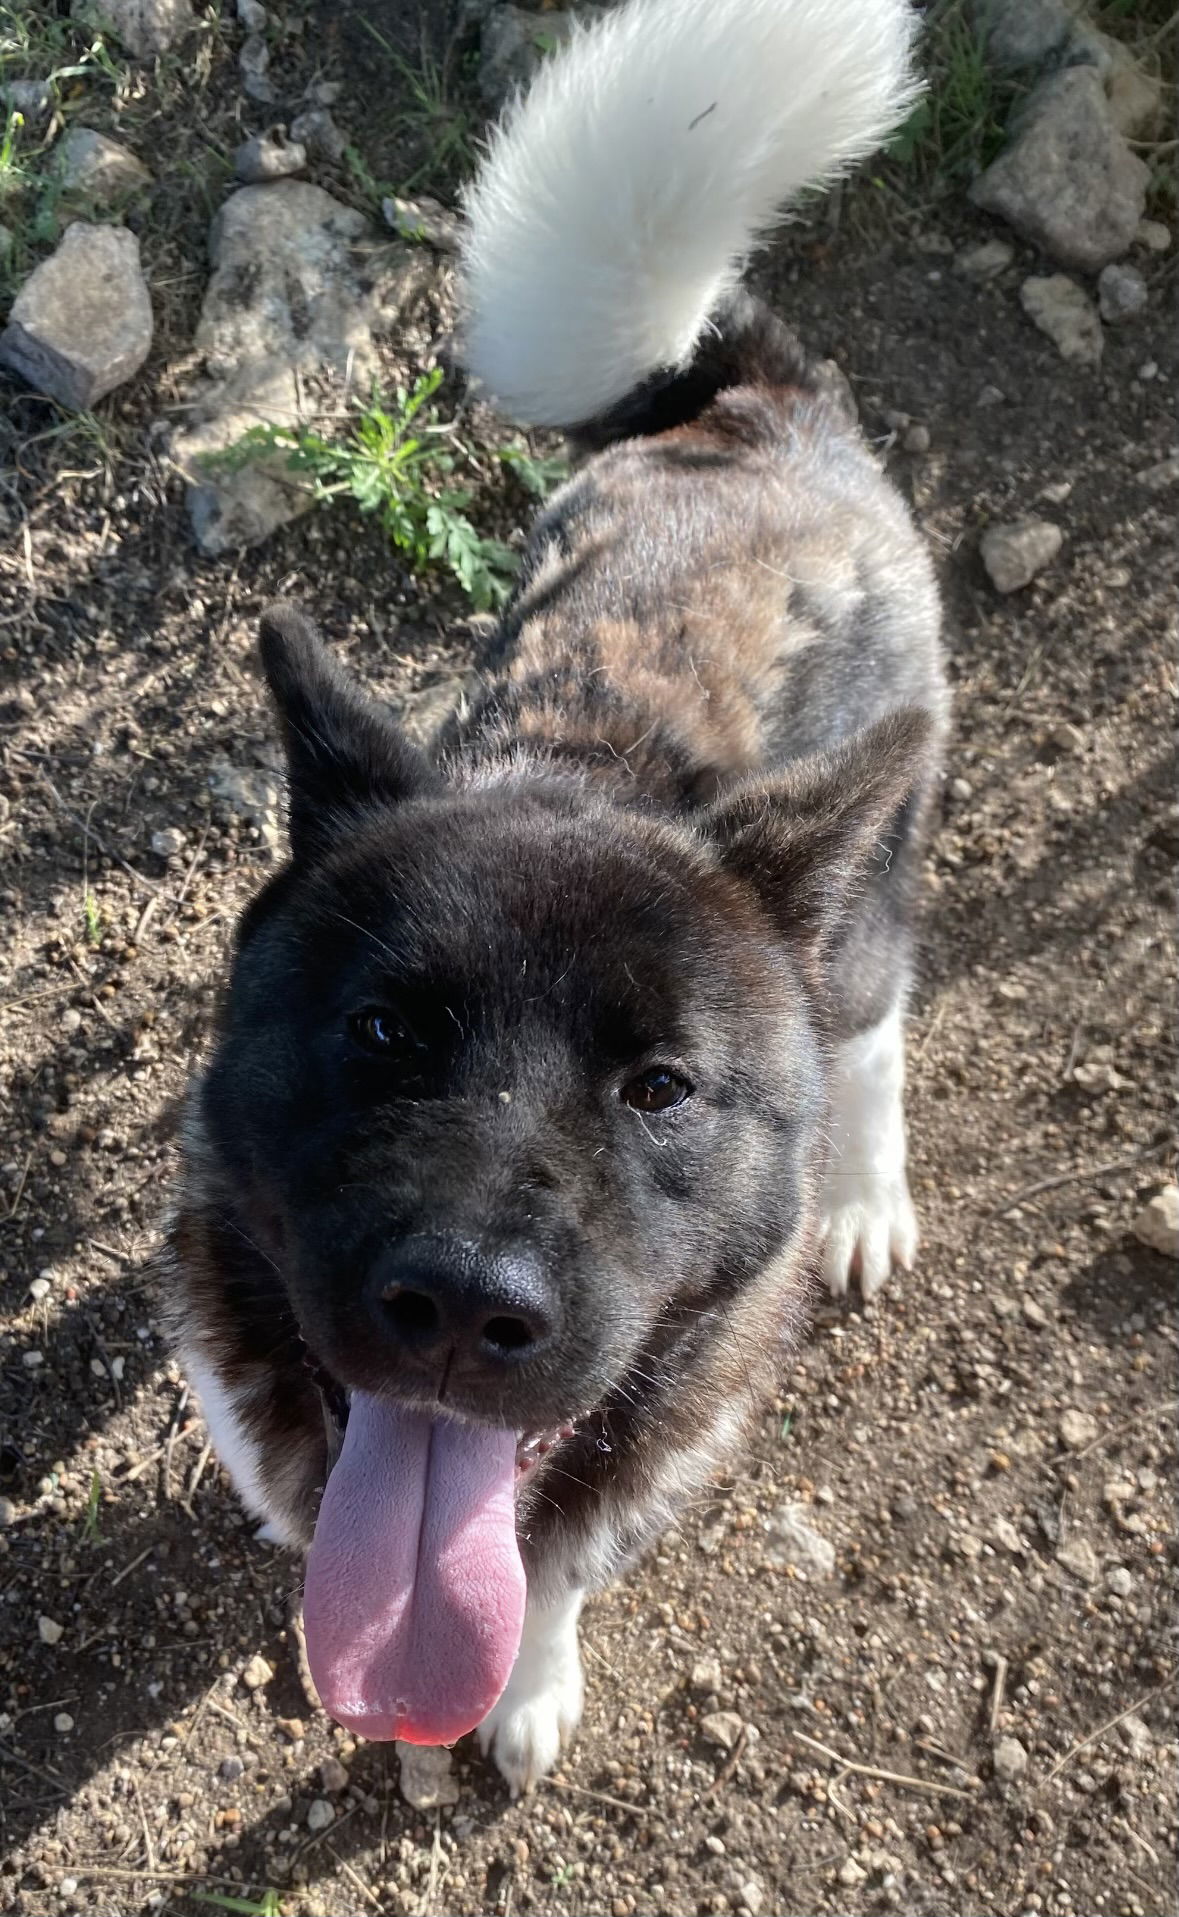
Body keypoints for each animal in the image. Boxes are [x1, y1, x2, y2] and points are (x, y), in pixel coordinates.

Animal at [163, 0, 950, 1794]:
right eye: (381, 1030)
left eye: (660, 1088)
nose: (462, 1305)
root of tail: (750, 406)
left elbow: (563, 1566)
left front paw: (520, 1683)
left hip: (864, 889)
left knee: (870, 1026)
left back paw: (861, 1195)